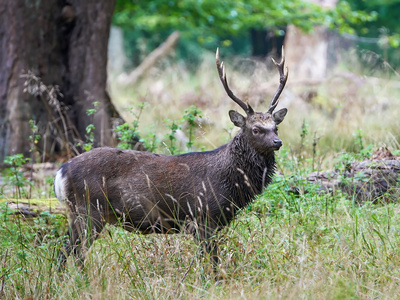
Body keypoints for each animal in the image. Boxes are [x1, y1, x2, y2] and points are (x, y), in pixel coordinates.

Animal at [54, 48, 290, 268]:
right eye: (256, 129)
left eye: (276, 127)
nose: (277, 142)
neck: (230, 185)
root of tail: (60, 173)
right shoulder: (203, 216)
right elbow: (211, 261)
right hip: (88, 211)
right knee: (69, 253)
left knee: (68, 252)